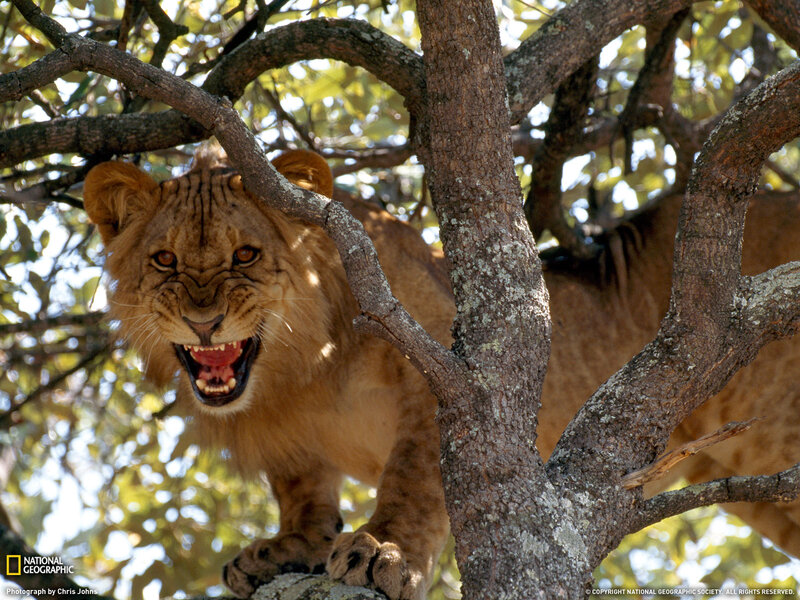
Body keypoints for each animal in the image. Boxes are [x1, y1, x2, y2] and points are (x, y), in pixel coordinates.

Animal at [84, 148, 800, 598]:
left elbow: (414, 481)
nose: (204, 323)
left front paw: (383, 553)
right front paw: (289, 547)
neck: (299, 368)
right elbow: (303, 490)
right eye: (165, 259)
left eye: (246, 255)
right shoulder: (288, 439)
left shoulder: (443, 374)